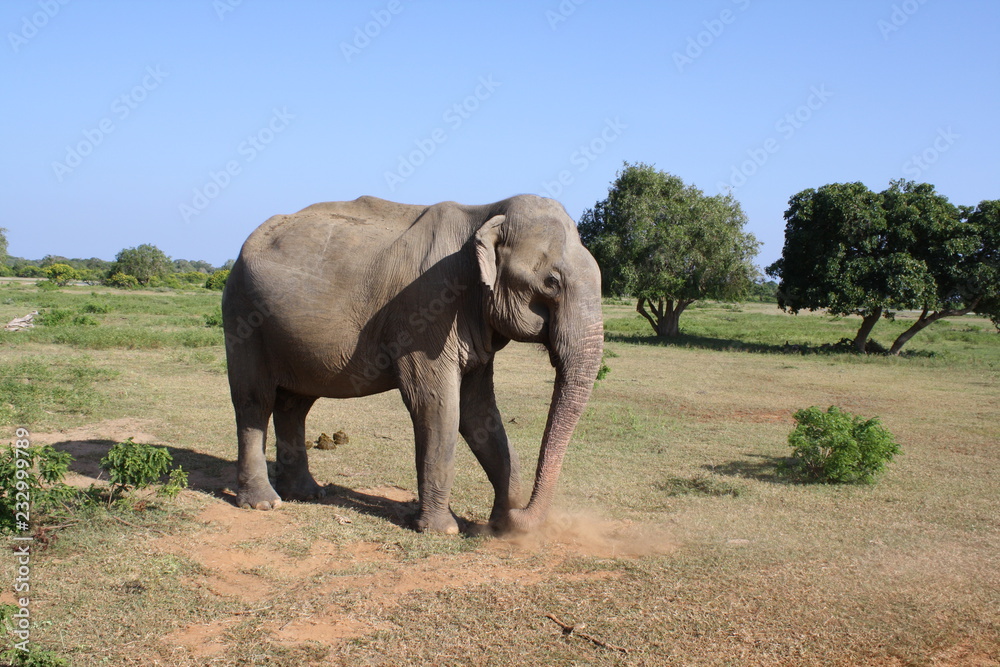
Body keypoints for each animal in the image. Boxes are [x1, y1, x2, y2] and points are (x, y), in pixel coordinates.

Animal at [222, 194, 603, 534]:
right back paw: (264, 503)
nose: (515, 516)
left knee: (295, 404)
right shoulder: (426, 312)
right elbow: (436, 405)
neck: (484, 213)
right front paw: (443, 530)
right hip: (243, 317)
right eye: (551, 283)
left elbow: (478, 410)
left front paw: (497, 526)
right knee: (255, 401)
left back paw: (308, 494)